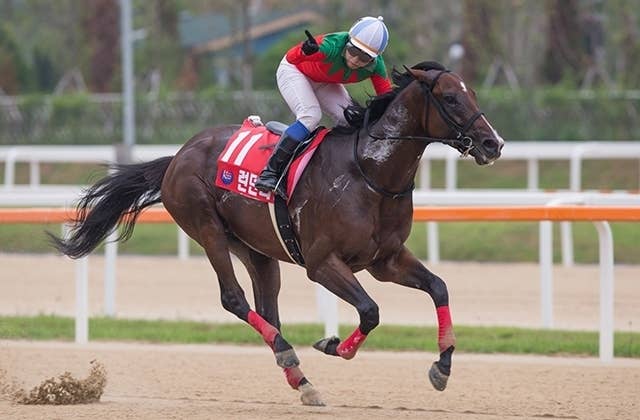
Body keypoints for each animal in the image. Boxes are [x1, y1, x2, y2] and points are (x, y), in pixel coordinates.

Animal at [50, 60, 504, 406]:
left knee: (267, 308)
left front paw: (442, 365)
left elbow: (439, 286)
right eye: (451, 98)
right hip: (207, 228)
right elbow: (371, 310)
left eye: (473, 94)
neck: (370, 172)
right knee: (234, 298)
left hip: (257, 249)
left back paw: (301, 381)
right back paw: (288, 355)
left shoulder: (385, 260)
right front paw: (333, 345)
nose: (493, 143)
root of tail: (177, 156)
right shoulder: (323, 263)